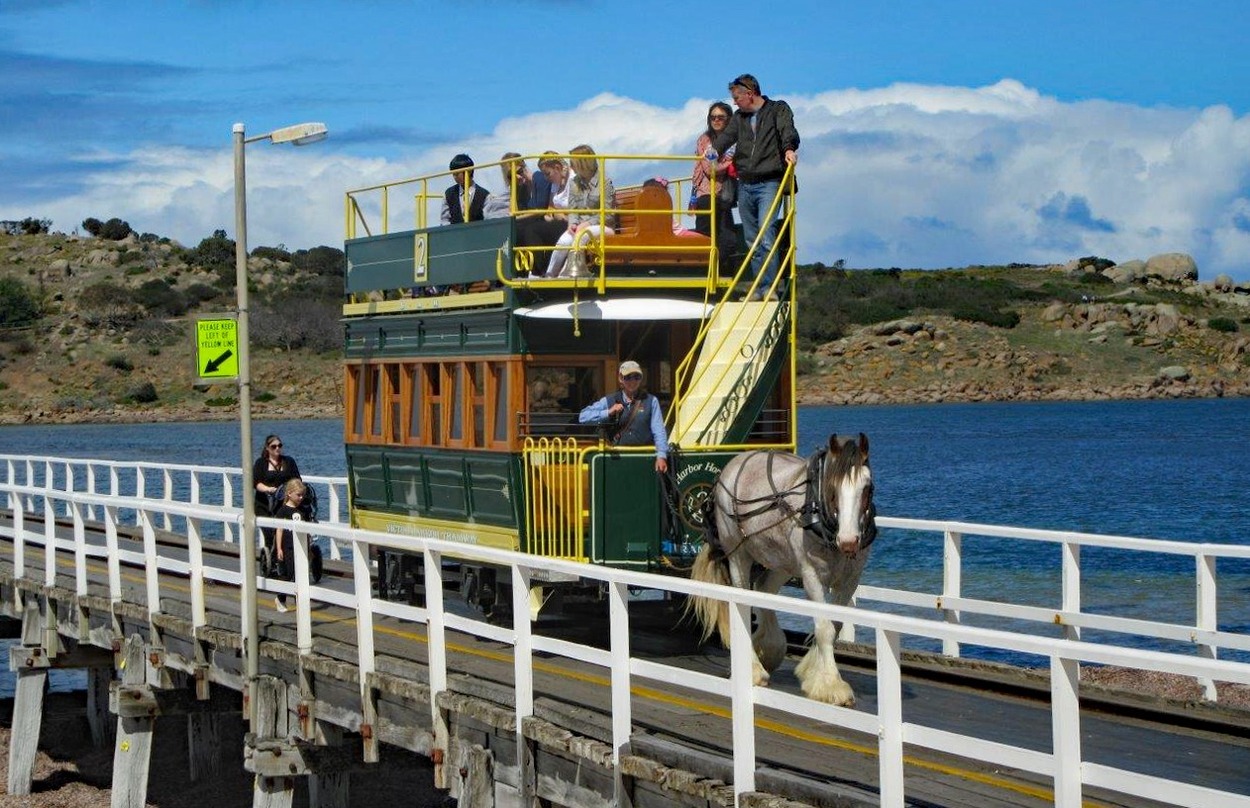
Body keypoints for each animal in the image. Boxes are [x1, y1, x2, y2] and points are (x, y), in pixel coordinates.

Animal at [685, 432, 880, 705]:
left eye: (867, 487)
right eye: (832, 487)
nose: (849, 541)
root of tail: (736, 462)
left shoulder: (850, 578)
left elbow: (835, 625)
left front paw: (812, 671)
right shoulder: (811, 574)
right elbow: (824, 628)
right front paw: (831, 685)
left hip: (781, 562)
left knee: (764, 589)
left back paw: (768, 649)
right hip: (738, 555)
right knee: (743, 605)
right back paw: (754, 668)